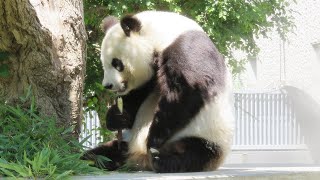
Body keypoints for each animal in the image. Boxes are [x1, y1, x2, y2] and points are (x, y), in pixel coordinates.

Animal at [82, 10, 232, 173]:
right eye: (104, 63)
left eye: (117, 63)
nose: (108, 85)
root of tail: (139, 159)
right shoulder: (149, 77)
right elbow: (136, 96)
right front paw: (117, 117)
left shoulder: (186, 48)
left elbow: (187, 92)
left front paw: (153, 140)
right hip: (124, 143)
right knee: (105, 153)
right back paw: (94, 159)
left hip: (207, 135)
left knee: (194, 153)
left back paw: (161, 159)